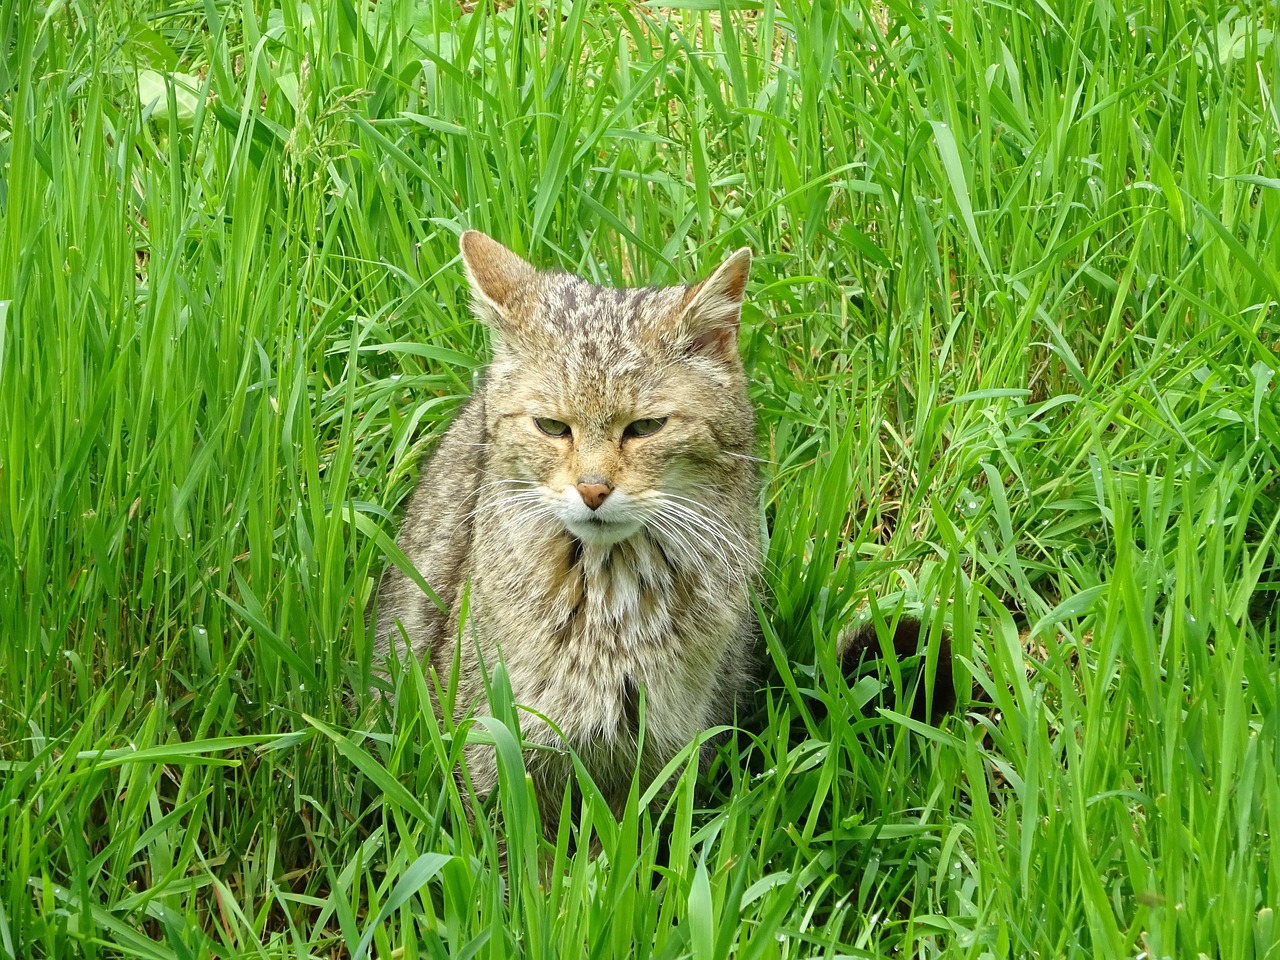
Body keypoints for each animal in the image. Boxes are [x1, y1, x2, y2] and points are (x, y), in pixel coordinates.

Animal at [373, 231, 762, 829]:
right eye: (552, 427)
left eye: (646, 427)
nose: (593, 488)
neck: (608, 602)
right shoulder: (493, 761)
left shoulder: (662, 762)